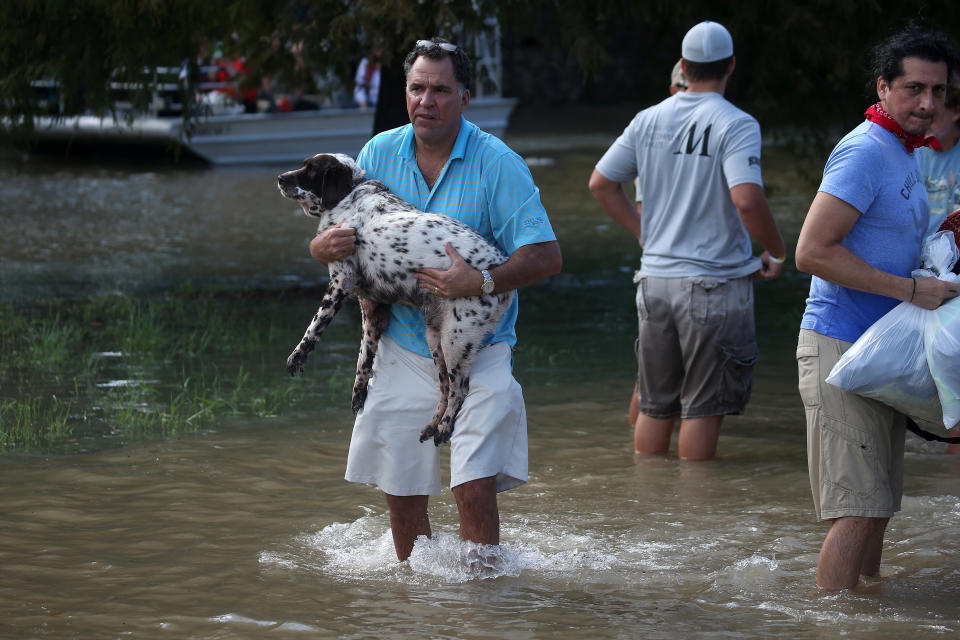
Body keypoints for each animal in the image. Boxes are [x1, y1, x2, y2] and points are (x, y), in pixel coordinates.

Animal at [278, 154, 512, 444]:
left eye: (310, 170)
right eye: (303, 165)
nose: (280, 178)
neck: (350, 196)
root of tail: (499, 275)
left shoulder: (340, 281)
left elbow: (314, 327)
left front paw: (297, 355)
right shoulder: (373, 310)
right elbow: (364, 357)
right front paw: (359, 393)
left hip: (455, 340)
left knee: (460, 388)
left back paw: (444, 427)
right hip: (435, 338)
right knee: (445, 388)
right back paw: (432, 425)